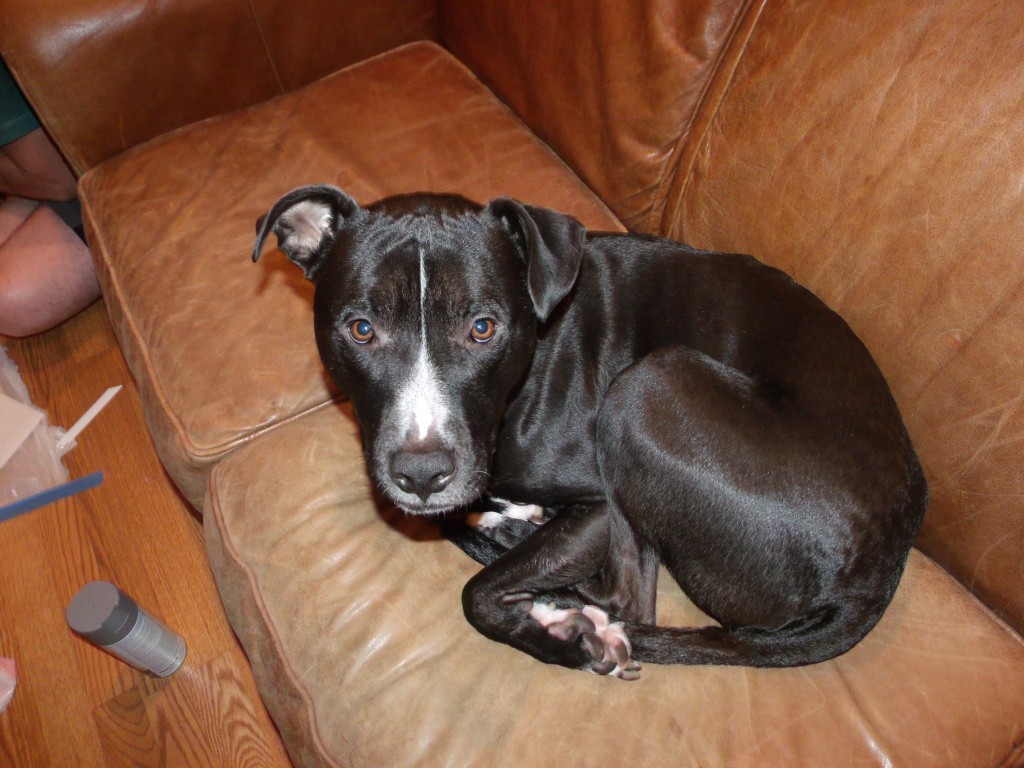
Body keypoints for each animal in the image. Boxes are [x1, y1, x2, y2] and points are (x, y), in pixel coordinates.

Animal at [256, 185, 929, 679]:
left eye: (483, 327)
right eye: (361, 329)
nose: (421, 473)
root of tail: (881, 570)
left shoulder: (599, 503)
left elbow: (477, 592)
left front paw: (560, 640)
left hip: (646, 386)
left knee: (628, 603)